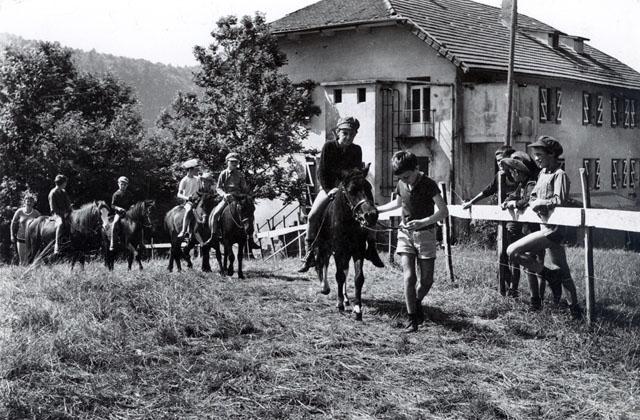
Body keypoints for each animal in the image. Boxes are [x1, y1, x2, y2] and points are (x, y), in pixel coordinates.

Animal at [316, 167, 380, 322]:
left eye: (369, 187)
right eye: (351, 190)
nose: (371, 215)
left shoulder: (358, 251)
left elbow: (358, 278)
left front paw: (357, 309)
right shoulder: (338, 251)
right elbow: (339, 276)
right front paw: (339, 304)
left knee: (345, 270)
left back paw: (345, 299)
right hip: (326, 248)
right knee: (324, 263)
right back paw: (325, 288)